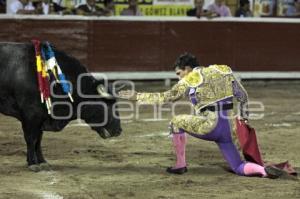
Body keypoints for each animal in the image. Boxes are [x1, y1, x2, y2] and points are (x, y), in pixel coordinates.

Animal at [0, 41, 122, 171]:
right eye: (107, 105)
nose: (119, 130)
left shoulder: (41, 117)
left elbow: (39, 139)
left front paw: (42, 162)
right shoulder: (30, 116)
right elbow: (31, 139)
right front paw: (33, 164)